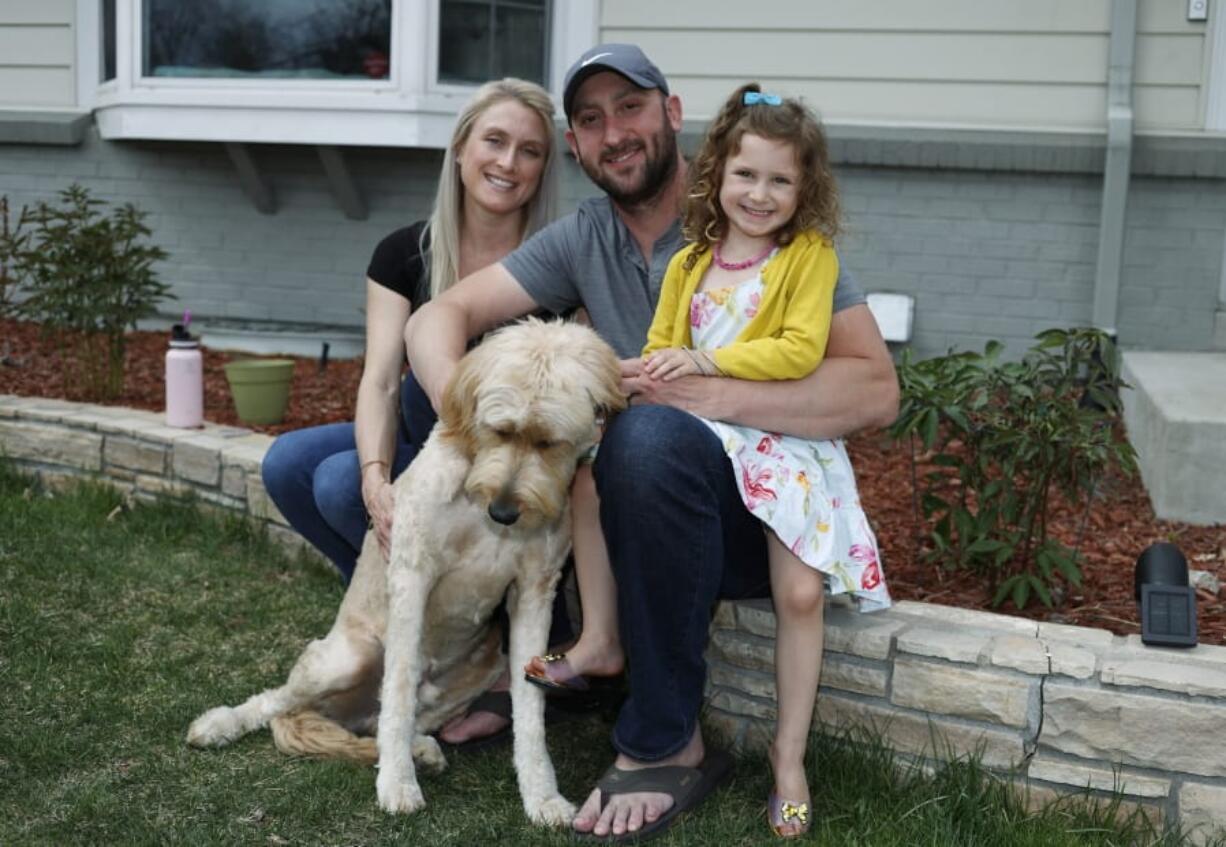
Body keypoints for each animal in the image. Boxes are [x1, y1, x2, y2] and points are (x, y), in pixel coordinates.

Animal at [186, 318, 627, 828]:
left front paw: (542, 796)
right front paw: (397, 784)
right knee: (278, 700)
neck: (478, 497)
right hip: (346, 656)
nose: (504, 512)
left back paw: (422, 751)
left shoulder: (535, 592)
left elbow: (530, 709)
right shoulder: (413, 574)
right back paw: (220, 724)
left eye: (549, 442)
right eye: (499, 430)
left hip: (477, 672)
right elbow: (397, 688)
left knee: (376, 726)